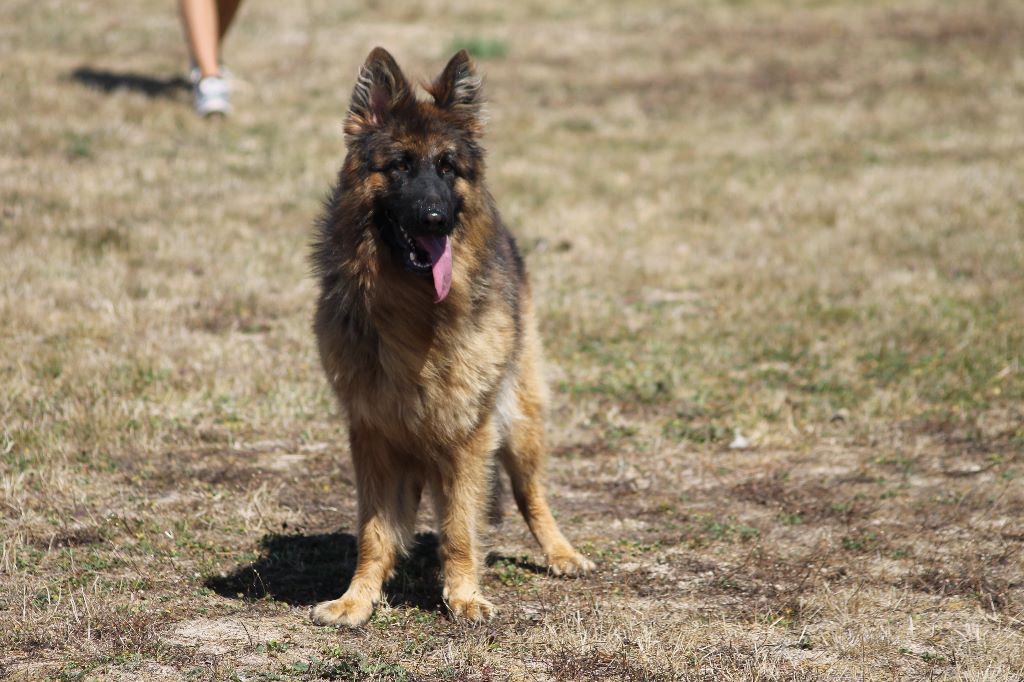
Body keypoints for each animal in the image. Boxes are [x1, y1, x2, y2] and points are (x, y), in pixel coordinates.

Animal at [307, 45, 593, 622]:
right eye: (399, 165)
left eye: (446, 166)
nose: (436, 219)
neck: (413, 312)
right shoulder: (372, 435)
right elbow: (374, 532)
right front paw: (358, 599)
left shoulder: (467, 436)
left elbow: (461, 526)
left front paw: (463, 595)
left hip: (521, 424)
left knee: (531, 494)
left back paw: (560, 553)